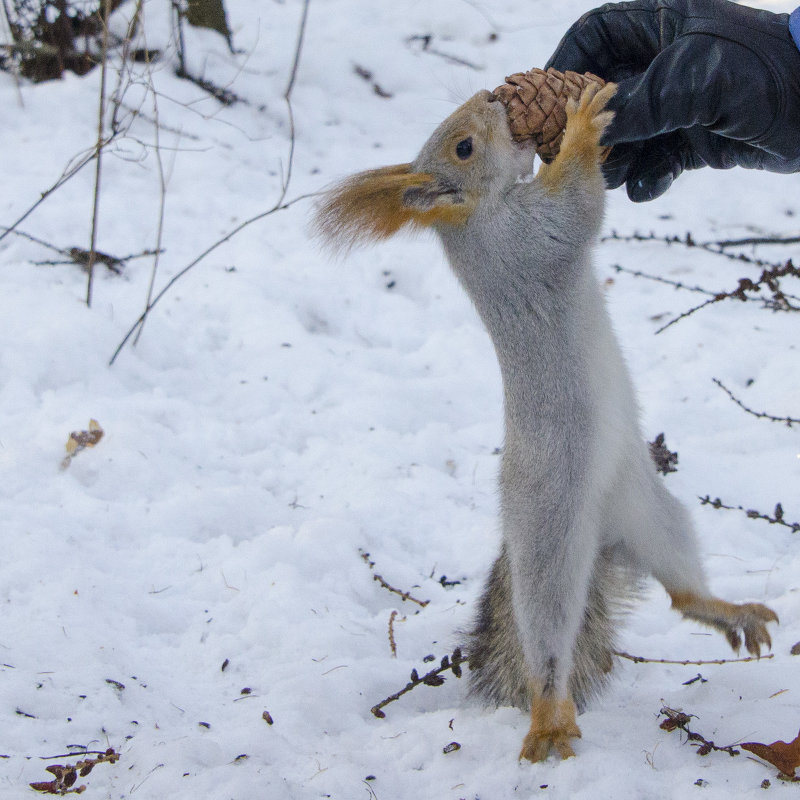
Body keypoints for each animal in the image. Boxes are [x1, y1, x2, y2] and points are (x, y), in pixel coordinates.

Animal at [314, 84, 780, 764]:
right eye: (464, 146)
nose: (490, 96)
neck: (479, 213)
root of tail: (602, 533)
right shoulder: (533, 236)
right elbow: (579, 205)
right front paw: (584, 123)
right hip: (551, 536)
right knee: (548, 635)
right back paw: (548, 719)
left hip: (652, 512)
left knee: (680, 590)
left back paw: (730, 612)